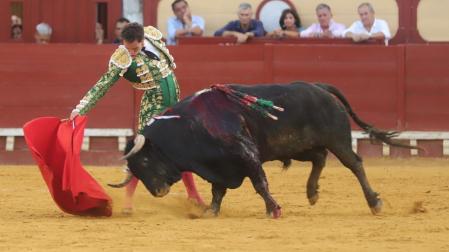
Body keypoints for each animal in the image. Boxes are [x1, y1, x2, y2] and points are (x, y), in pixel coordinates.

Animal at [114, 82, 412, 217]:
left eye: (145, 162)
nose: (158, 192)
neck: (192, 126)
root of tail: (320, 87)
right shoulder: (219, 165)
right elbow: (218, 190)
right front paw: (210, 211)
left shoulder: (246, 154)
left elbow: (259, 183)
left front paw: (273, 209)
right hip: (298, 146)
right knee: (319, 158)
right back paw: (311, 193)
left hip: (337, 139)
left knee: (355, 164)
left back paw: (374, 203)